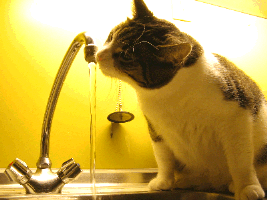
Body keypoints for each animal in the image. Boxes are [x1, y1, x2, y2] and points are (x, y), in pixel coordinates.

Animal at [93, 0, 267, 200]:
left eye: (126, 56)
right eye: (111, 36)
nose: (98, 55)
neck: (169, 94)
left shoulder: (236, 119)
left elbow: (240, 160)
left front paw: (247, 187)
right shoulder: (156, 128)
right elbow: (163, 158)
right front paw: (163, 182)